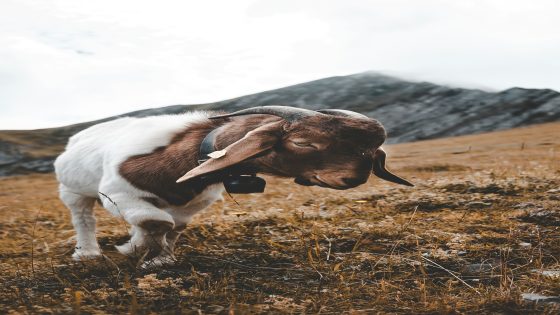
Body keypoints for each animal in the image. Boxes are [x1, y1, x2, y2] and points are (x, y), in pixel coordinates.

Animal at [55, 105, 412, 266]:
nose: (356, 177)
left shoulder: (190, 207)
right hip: (73, 192)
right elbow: (158, 222)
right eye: (303, 142)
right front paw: (135, 249)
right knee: (83, 219)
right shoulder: (116, 193)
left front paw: (159, 257)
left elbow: (172, 228)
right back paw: (87, 253)